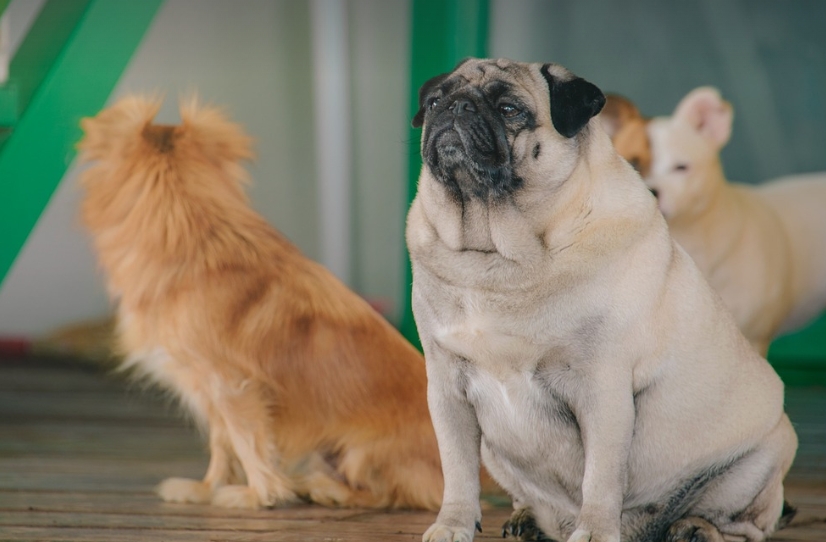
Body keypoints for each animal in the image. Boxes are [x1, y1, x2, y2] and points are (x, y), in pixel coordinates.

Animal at [77, 95, 444, 512]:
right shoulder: (210, 393)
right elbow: (222, 446)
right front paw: (206, 488)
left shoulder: (232, 387)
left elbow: (248, 443)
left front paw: (257, 495)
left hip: (362, 452)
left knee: (388, 495)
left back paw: (326, 490)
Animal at [402, 58, 796, 542]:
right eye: (435, 102)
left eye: (510, 109)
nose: (455, 107)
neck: (497, 254)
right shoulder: (447, 391)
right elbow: (457, 471)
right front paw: (452, 523)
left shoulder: (602, 391)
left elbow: (601, 476)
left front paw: (593, 531)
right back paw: (528, 518)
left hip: (761, 461)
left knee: (744, 523)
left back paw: (694, 527)